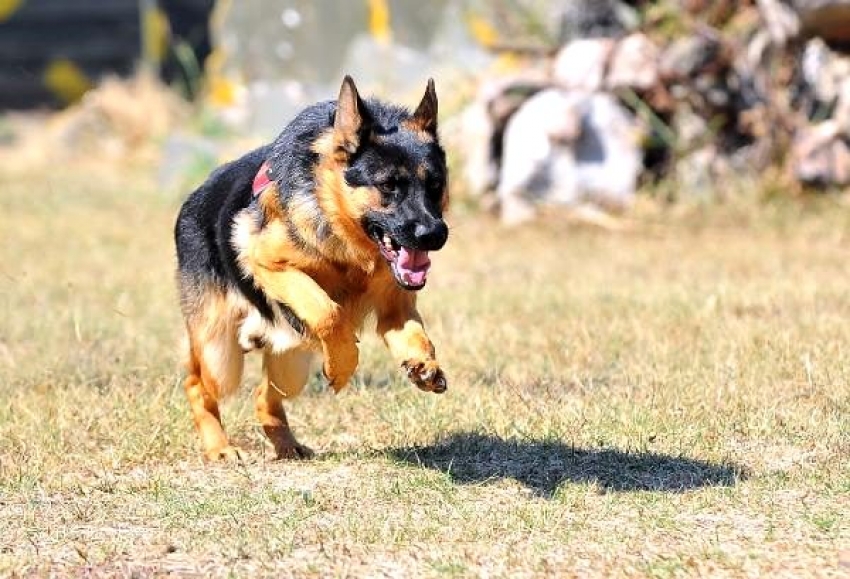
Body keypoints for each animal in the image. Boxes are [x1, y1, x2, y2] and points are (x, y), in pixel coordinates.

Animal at [175, 78, 448, 462]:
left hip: (291, 368)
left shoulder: (395, 308)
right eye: (388, 186)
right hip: (221, 358)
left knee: (263, 397)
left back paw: (287, 445)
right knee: (197, 385)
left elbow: (418, 336)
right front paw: (342, 366)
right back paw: (220, 447)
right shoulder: (266, 261)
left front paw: (424, 365)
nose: (434, 235)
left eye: (435, 185)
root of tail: (191, 199)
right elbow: (328, 312)